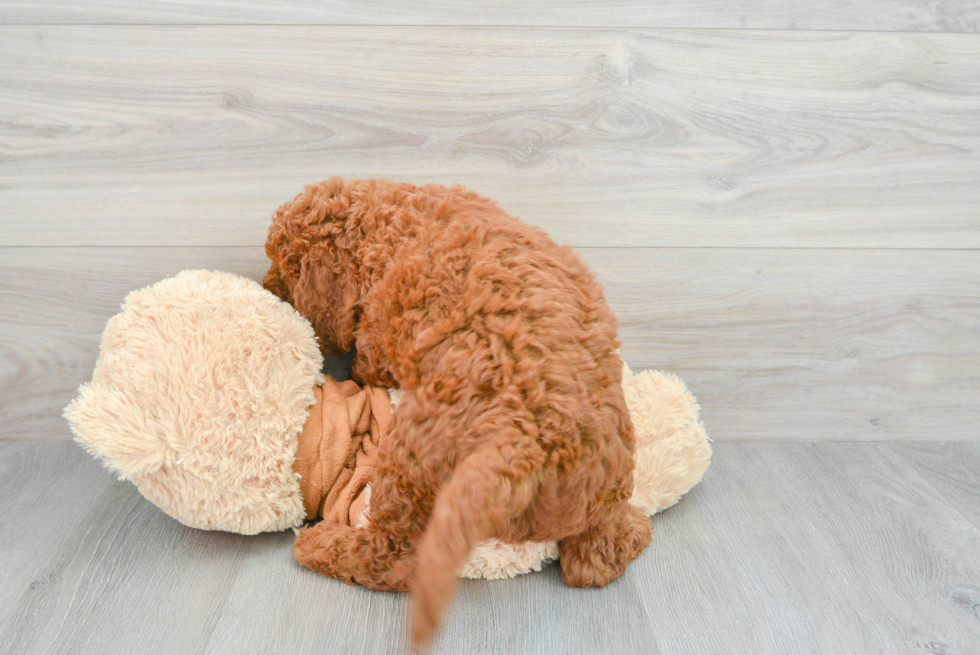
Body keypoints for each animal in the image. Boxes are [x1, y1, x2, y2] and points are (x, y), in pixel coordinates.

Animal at [264, 177, 656, 648]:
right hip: (609, 482)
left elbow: (367, 359)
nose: (265, 284)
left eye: (284, 268)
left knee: (394, 559)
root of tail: (528, 447)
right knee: (594, 562)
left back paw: (320, 545)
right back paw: (634, 529)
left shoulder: (378, 332)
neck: (386, 220)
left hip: (408, 465)